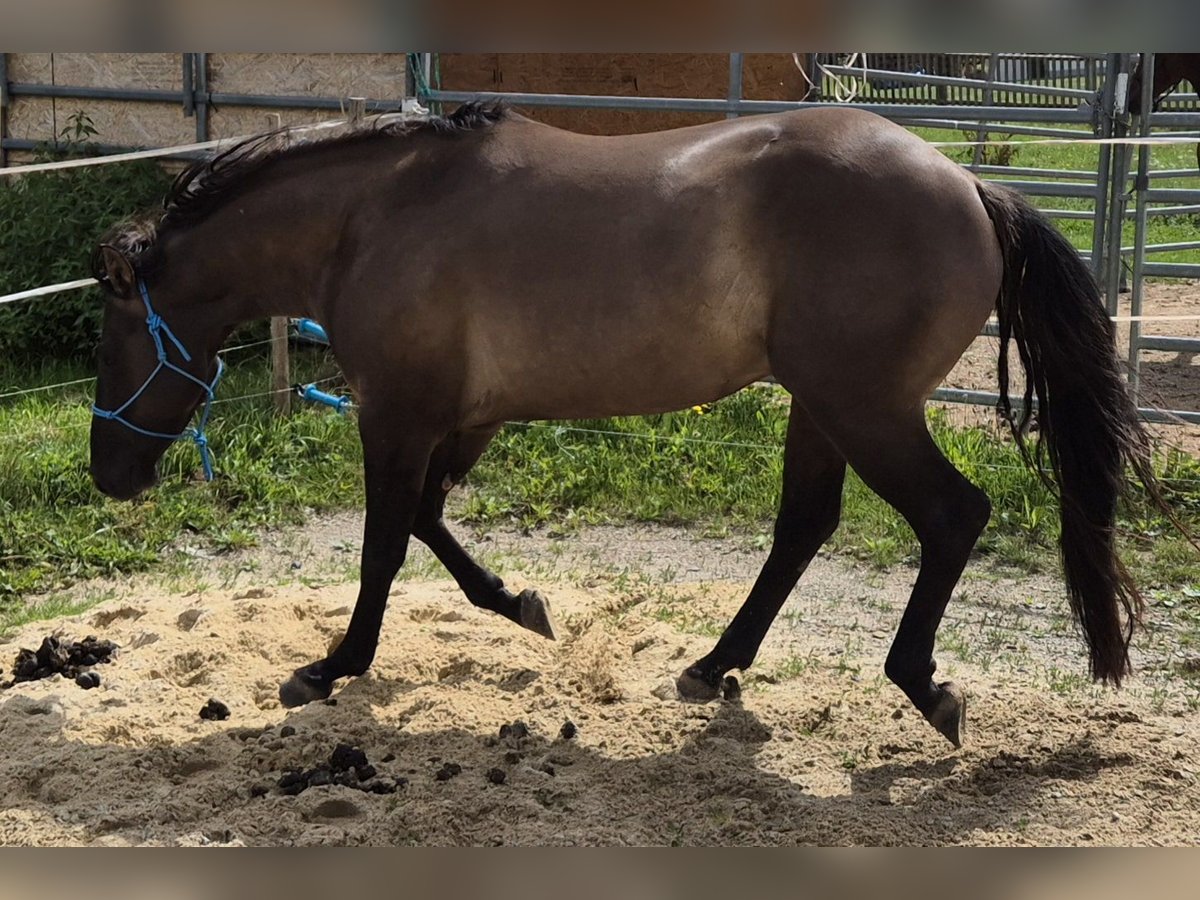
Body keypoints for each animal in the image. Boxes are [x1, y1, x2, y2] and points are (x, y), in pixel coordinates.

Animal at [90, 101, 1157, 748]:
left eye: (119, 330)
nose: (108, 475)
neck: (374, 219)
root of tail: (969, 184)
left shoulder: (395, 415)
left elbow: (384, 546)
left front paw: (329, 668)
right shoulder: (462, 418)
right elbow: (432, 526)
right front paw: (520, 603)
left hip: (866, 408)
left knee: (951, 517)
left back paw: (925, 686)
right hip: (821, 407)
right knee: (804, 528)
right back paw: (713, 667)